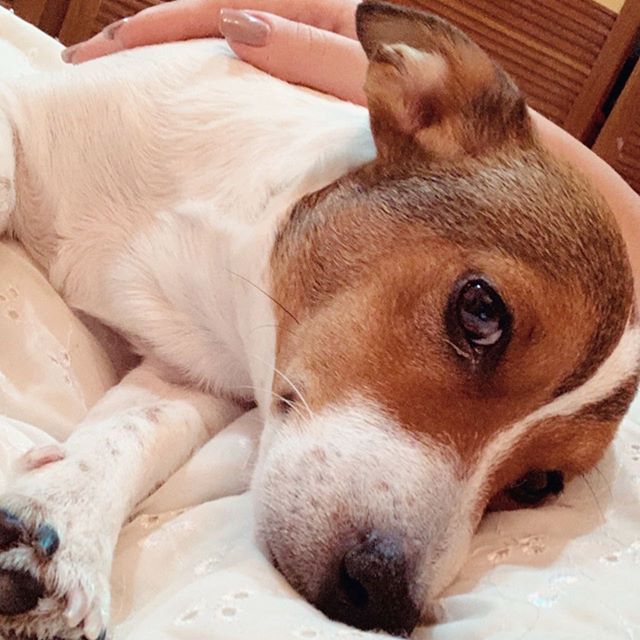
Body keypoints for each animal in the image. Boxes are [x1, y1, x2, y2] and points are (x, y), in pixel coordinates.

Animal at [0, 1, 636, 640]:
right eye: (480, 311)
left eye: (537, 485)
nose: (384, 602)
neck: (216, 277)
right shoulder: (22, 111)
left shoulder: (190, 376)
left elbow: (136, 433)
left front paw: (60, 529)